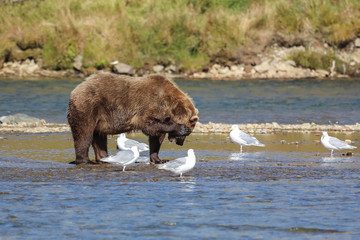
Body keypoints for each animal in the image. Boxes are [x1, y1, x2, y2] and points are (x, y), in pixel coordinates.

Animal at [66, 72, 198, 164]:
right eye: (189, 131)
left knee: (99, 137)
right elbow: (149, 125)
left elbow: (156, 138)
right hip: (88, 106)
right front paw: (180, 128)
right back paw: (85, 160)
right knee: (84, 134)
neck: (169, 105)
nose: (180, 143)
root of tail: (75, 90)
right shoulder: (150, 106)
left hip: (100, 119)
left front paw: (159, 159)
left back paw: (104, 158)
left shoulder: (160, 113)